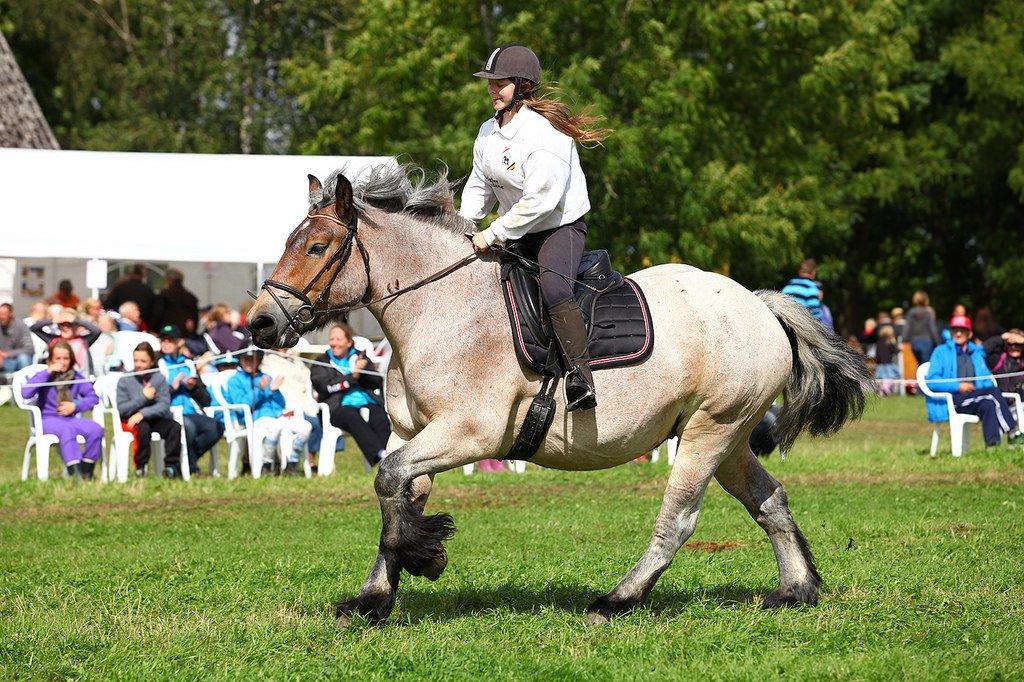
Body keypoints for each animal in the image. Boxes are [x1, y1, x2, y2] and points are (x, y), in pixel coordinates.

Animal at [243, 163, 868, 622]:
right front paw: (376, 596)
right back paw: (796, 590)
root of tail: (758, 303)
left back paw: (618, 600)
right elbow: (397, 493)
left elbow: (390, 482)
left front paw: (424, 557)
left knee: (680, 519)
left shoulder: (469, 434)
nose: (261, 325)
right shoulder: (410, 432)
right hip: (728, 437)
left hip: (709, 432)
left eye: (317, 247)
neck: (441, 309)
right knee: (770, 500)